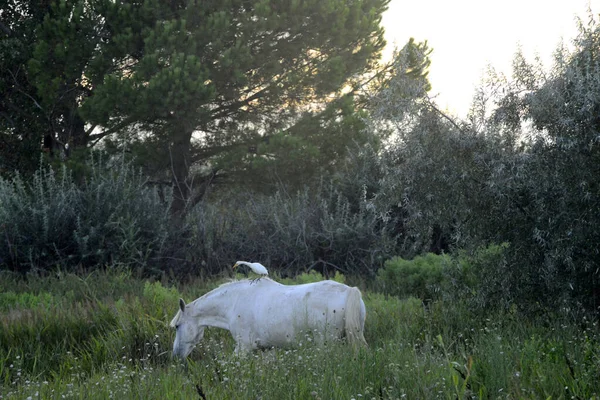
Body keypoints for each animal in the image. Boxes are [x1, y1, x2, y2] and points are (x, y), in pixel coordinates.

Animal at [169, 278, 366, 356]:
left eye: (178, 326)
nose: (176, 354)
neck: (234, 301)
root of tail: (349, 291)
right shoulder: (266, 349)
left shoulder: (243, 348)